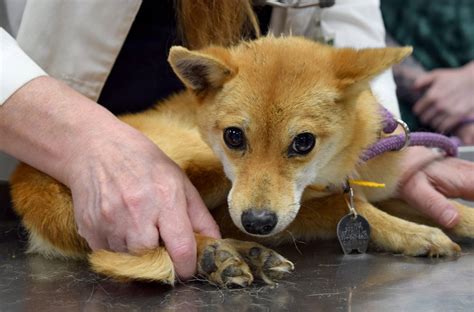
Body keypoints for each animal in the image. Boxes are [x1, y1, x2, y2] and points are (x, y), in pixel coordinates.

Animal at [9, 36, 472, 288]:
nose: (258, 223)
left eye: (304, 142)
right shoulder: (270, 206)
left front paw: (461, 216)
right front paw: (417, 234)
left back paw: (244, 253)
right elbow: (347, 209)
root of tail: (27, 177)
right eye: (234, 136)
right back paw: (221, 255)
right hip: (195, 173)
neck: (335, 172)